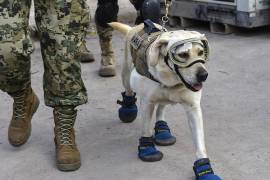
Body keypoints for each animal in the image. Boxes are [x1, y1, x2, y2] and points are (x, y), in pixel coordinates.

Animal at [109, 20, 221, 180]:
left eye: (201, 52)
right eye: (183, 54)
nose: (203, 75)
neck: (171, 79)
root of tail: (135, 27)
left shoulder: (193, 109)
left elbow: (200, 144)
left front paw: (204, 169)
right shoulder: (147, 103)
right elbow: (146, 129)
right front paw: (147, 148)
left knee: (161, 108)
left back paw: (162, 130)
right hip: (126, 76)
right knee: (129, 91)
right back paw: (128, 109)